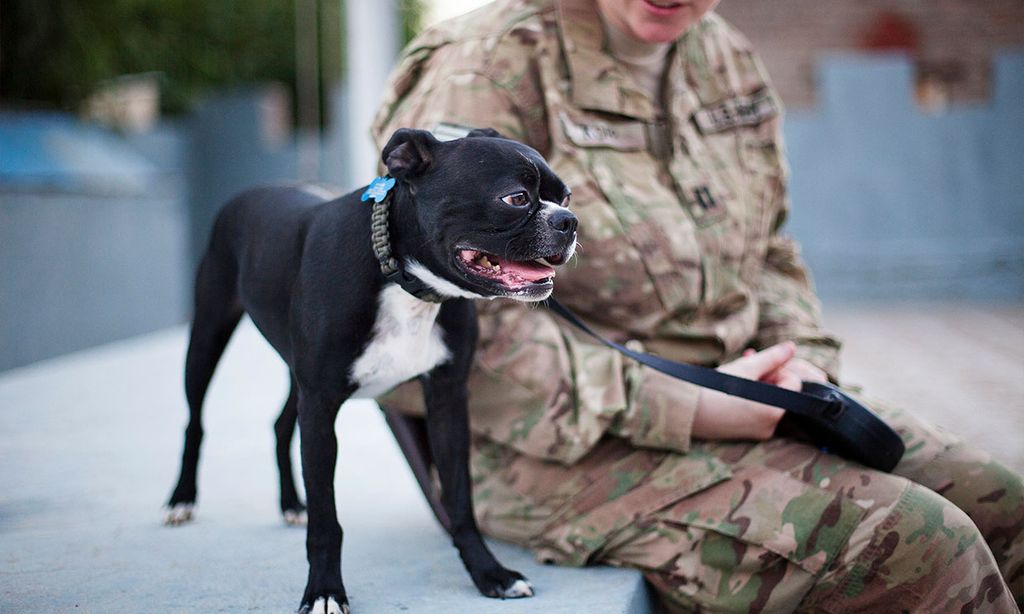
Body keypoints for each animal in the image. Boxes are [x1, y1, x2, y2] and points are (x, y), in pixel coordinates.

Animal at [160, 126, 577, 609]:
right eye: (516, 198)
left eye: (566, 196)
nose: (569, 221)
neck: (404, 282)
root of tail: (251, 191)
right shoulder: (321, 409)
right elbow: (327, 521)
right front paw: (324, 591)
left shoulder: (446, 401)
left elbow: (460, 502)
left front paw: (489, 573)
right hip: (207, 334)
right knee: (194, 421)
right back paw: (181, 499)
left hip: (296, 377)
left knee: (281, 425)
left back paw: (290, 503)